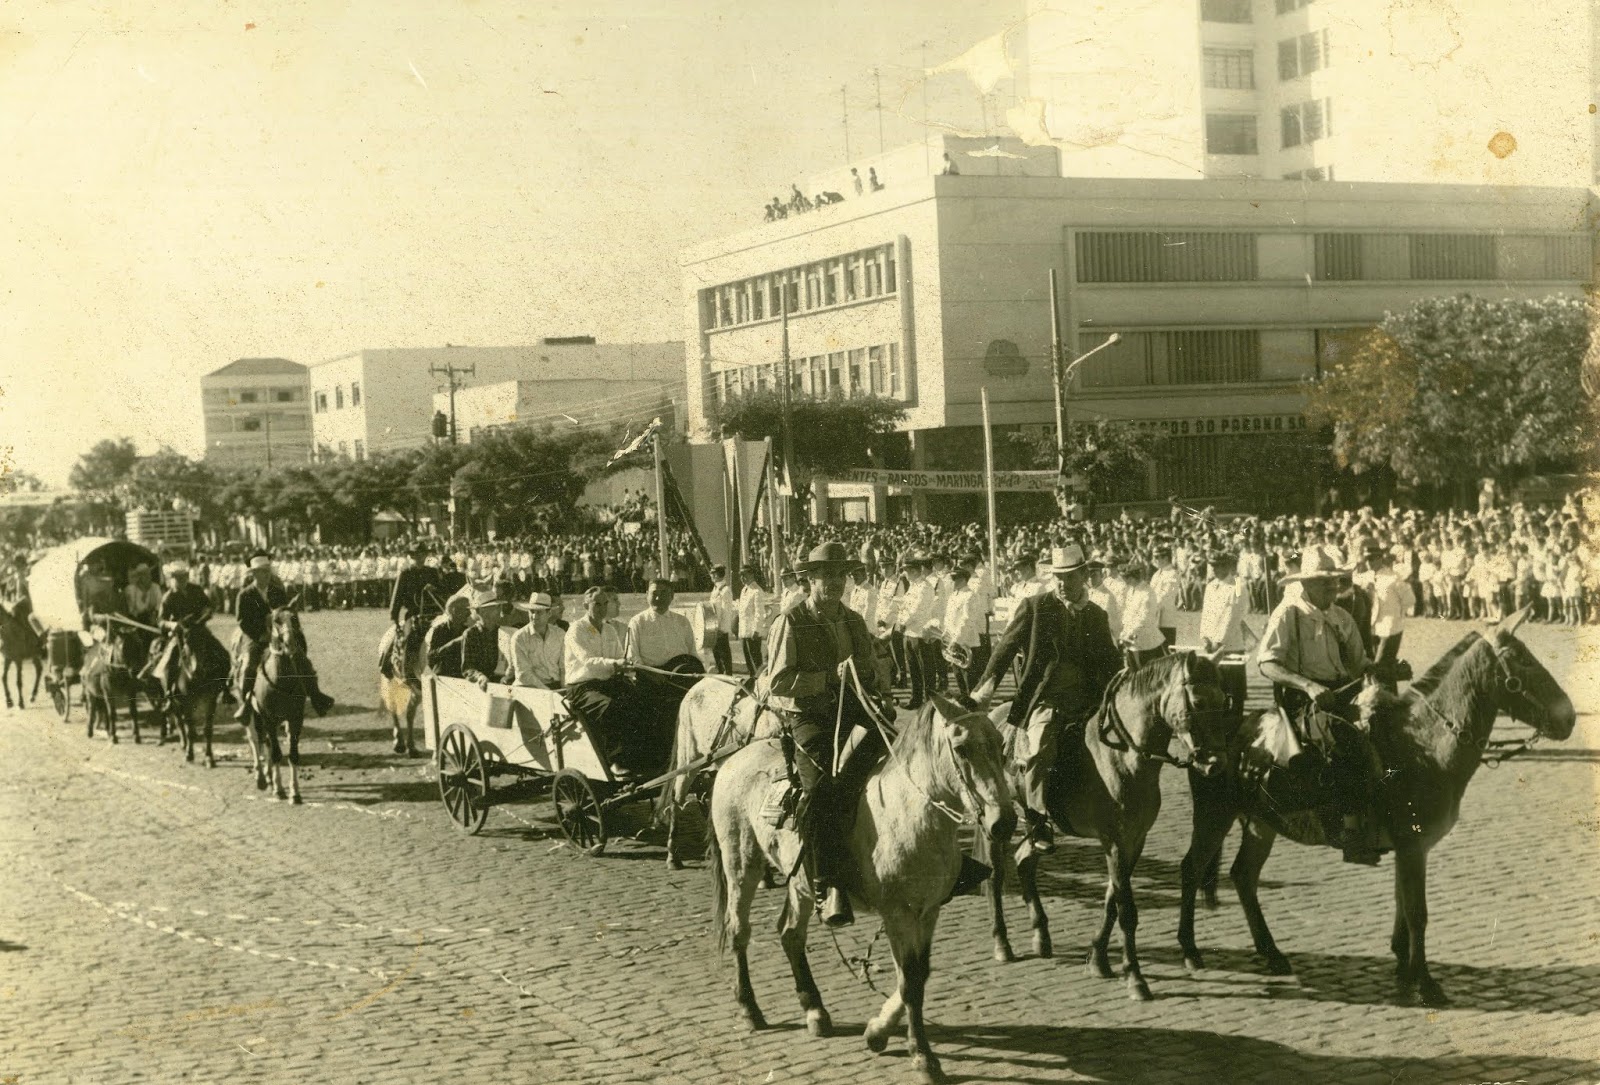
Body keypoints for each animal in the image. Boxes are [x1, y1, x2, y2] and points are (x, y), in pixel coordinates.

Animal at [704, 697, 1011, 1085]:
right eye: (961, 748)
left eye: (1001, 744)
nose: (1005, 823)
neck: (910, 812)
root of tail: (733, 759)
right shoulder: (898, 913)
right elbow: (909, 982)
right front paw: (922, 1057)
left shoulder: (928, 910)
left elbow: (918, 974)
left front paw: (878, 1031)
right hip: (741, 863)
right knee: (739, 931)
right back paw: (749, 1008)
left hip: (801, 882)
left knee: (790, 933)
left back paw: (815, 1010)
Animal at [979, 656, 1228, 1004]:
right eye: (1200, 702)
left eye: (1224, 701)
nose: (1216, 762)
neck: (1124, 755)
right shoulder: (1115, 841)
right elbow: (1126, 910)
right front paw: (1135, 977)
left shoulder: (1134, 841)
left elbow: (1112, 900)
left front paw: (1098, 959)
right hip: (995, 822)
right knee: (996, 875)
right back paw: (1002, 942)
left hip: (1033, 820)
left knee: (1025, 861)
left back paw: (1041, 935)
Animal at [1177, 611, 1574, 1011]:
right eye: (1522, 659)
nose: (1569, 717)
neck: (1423, 747)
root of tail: (1212, 738)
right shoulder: (1413, 847)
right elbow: (1417, 914)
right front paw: (1426, 984)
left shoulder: (1410, 848)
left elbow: (1403, 905)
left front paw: (1404, 966)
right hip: (1213, 816)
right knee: (1192, 869)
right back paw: (1190, 950)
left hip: (1261, 823)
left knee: (1243, 876)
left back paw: (1271, 953)